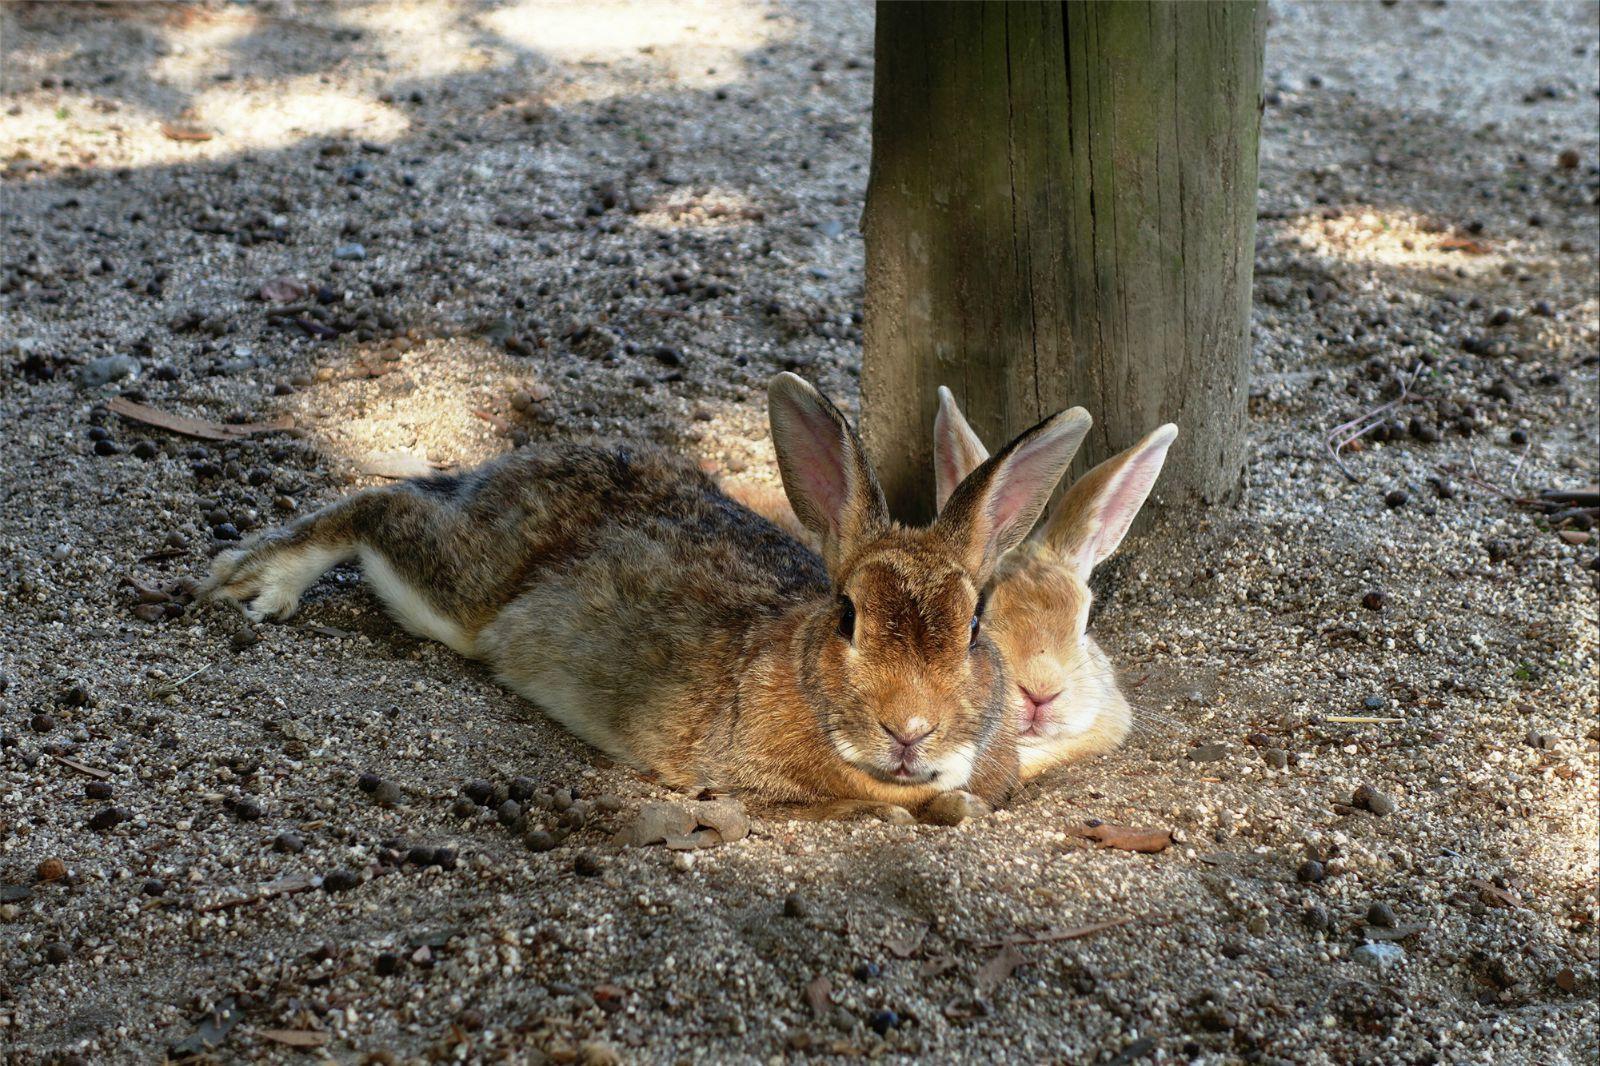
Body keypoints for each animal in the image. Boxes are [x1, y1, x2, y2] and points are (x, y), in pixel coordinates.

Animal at [200, 372, 1088, 819]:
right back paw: (252, 581)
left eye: (973, 626)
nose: (910, 731)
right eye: (848, 617)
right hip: (462, 594)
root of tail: (517, 464)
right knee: (383, 508)